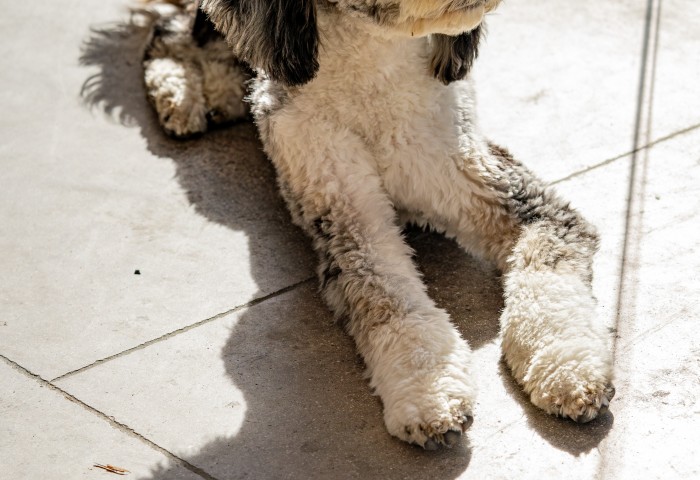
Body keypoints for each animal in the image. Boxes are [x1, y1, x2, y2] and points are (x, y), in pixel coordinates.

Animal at [139, 0, 616, 450]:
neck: (375, 84)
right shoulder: (350, 222)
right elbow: (389, 301)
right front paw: (428, 395)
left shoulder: (516, 197)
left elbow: (545, 271)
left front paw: (567, 369)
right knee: (169, 32)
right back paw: (182, 95)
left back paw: (218, 91)